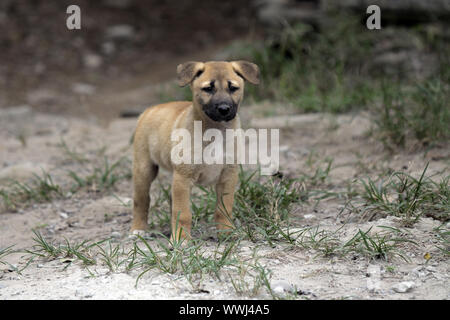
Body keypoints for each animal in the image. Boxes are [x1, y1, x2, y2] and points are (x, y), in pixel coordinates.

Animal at [130, 60, 258, 241]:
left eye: (233, 88)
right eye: (208, 88)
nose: (224, 109)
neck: (215, 131)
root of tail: (149, 110)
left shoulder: (228, 176)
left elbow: (224, 209)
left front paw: (226, 232)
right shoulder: (184, 177)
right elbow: (183, 213)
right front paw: (181, 239)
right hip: (144, 169)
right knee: (141, 201)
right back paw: (138, 229)